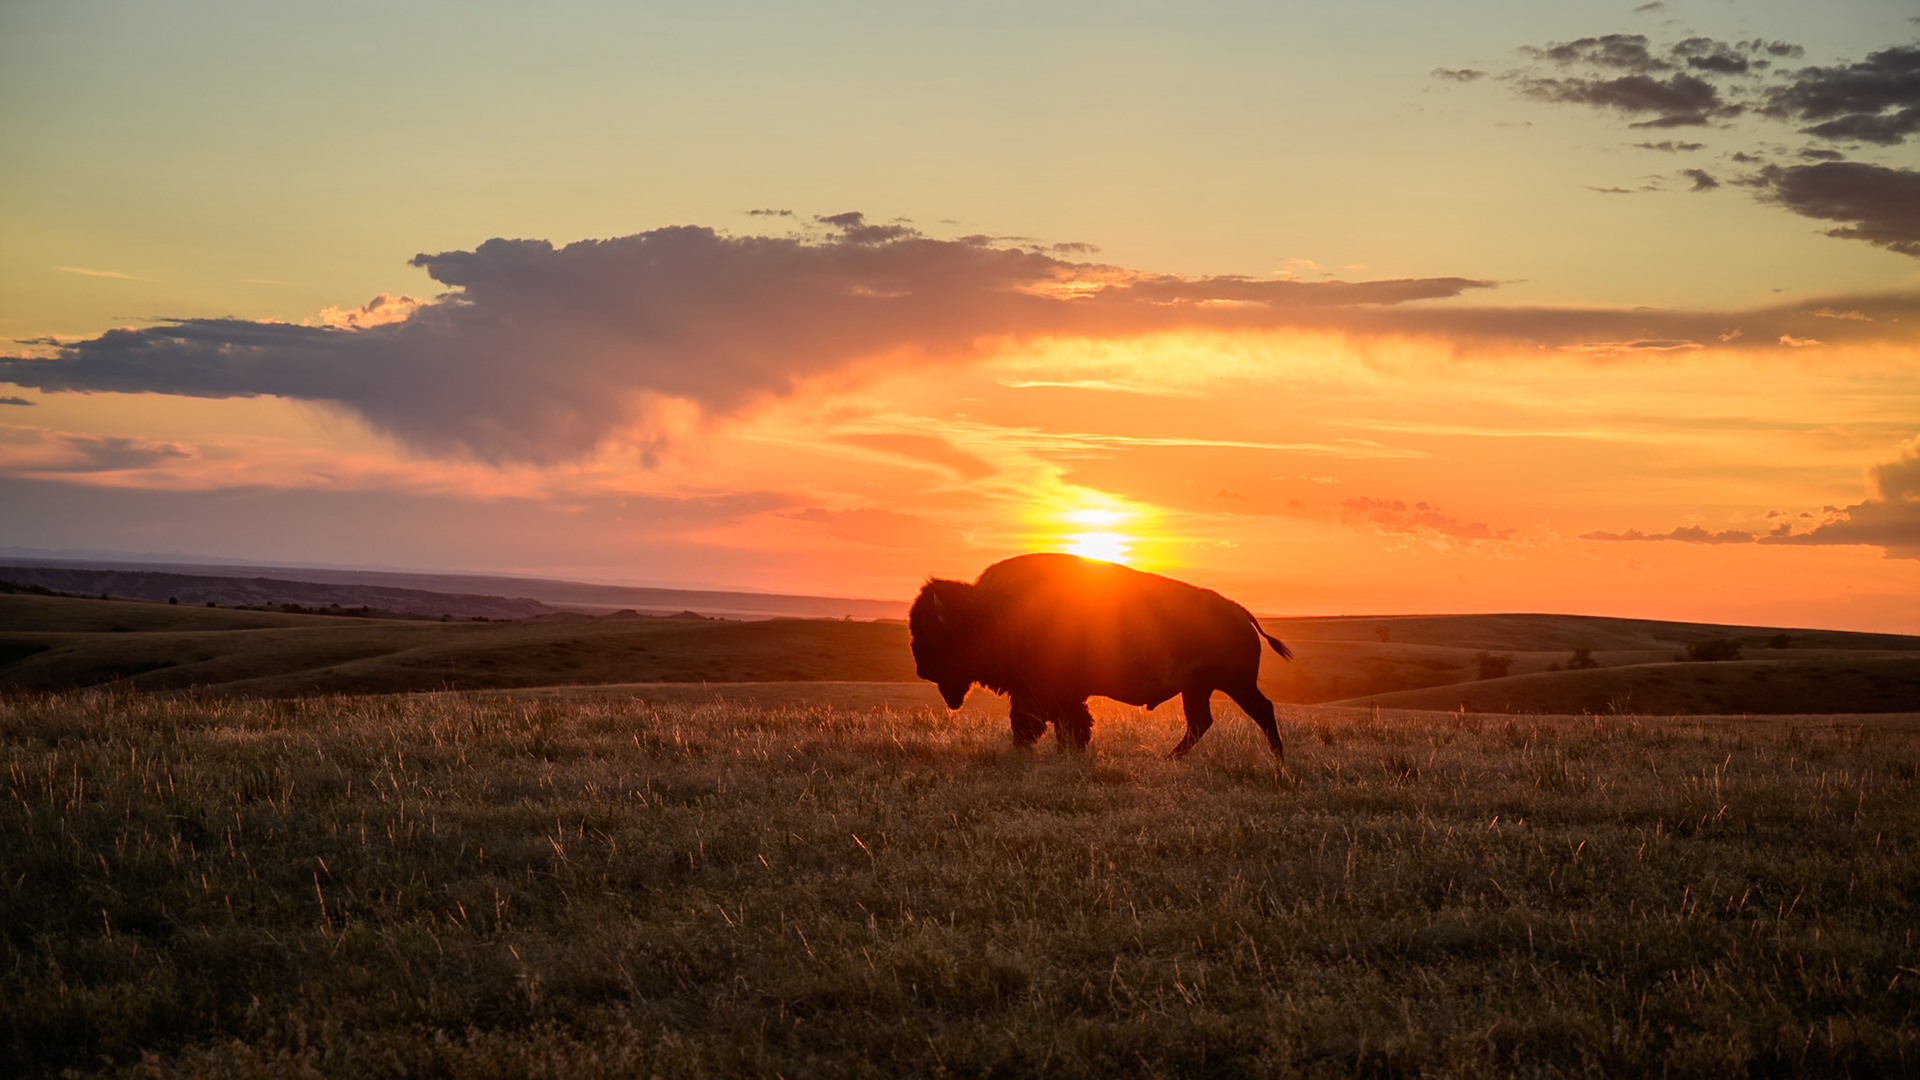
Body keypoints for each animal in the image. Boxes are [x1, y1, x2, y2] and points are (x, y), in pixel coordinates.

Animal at [909, 553, 1292, 760]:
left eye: (935, 634)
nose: (922, 669)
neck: (990, 611)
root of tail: (1241, 613)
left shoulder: (1041, 693)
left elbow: (1038, 724)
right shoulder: (1054, 695)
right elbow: (1067, 724)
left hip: (1235, 685)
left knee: (1262, 711)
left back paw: (1279, 759)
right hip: (1197, 689)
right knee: (1200, 722)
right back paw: (1168, 759)